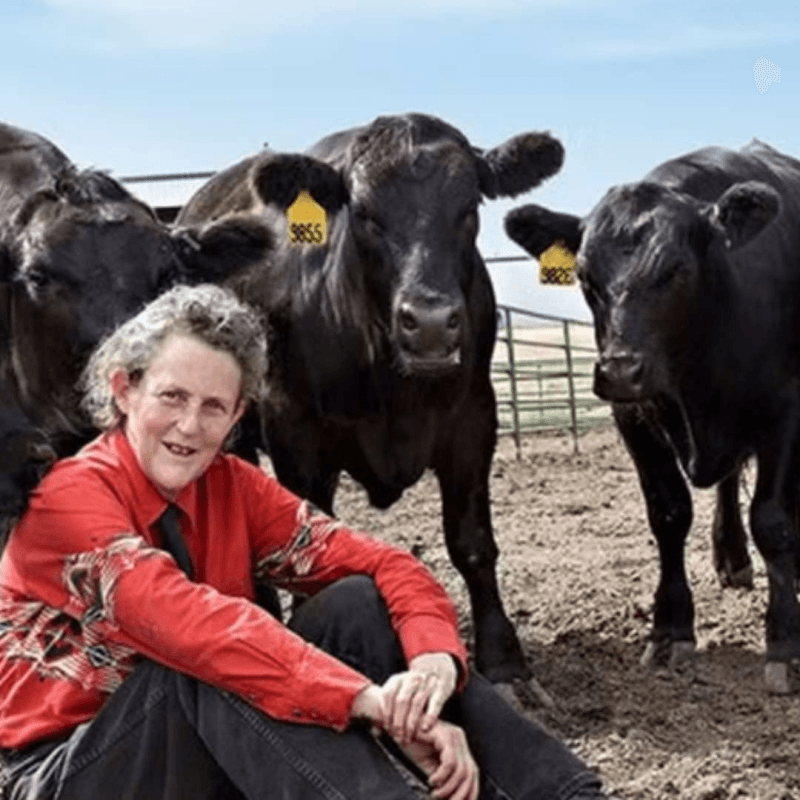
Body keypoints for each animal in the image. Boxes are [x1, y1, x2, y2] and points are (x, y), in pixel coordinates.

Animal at [176, 113, 565, 683]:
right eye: (362, 213)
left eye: (469, 206)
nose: (430, 322)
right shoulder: (295, 431)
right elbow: (307, 540)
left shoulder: (474, 417)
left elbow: (472, 542)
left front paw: (504, 658)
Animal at [503, 139, 800, 693]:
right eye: (585, 277)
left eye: (677, 269)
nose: (620, 368)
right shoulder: (634, 415)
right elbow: (668, 513)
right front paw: (669, 630)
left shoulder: (788, 410)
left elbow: (773, 521)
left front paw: (786, 642)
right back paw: (731, 560)